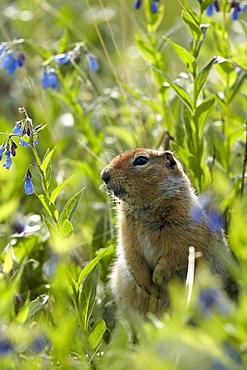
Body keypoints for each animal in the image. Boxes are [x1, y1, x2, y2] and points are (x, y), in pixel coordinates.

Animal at [100, 149, 230, 316]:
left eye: (141, 160)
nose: (104, 175)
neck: (144, 210)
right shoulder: (126, 232)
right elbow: (131, 254)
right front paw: (146, 284)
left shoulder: (186, 232)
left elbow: (177, 254)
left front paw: (158, 278)